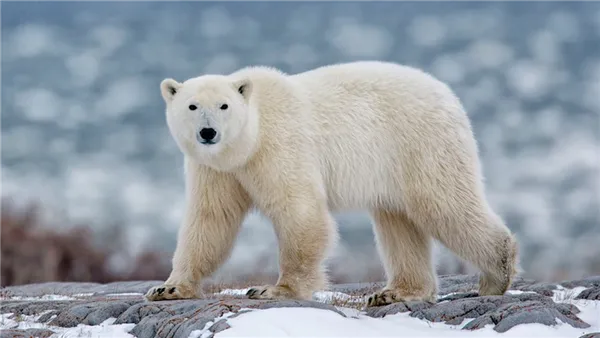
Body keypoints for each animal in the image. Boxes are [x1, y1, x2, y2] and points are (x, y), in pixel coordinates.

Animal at [145, 60, 520, 306]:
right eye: (192, 106)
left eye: (224, 105)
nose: (208, 133)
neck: (250, 140)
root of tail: (448, 95)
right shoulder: (216, 169)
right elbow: (210, 220)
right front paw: (169, 288)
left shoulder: (280, 146)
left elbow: (299, 211)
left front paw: (274, 289)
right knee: (398, 222)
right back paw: (394, 292)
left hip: (420, 144)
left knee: (444, 205)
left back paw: (495, 275)